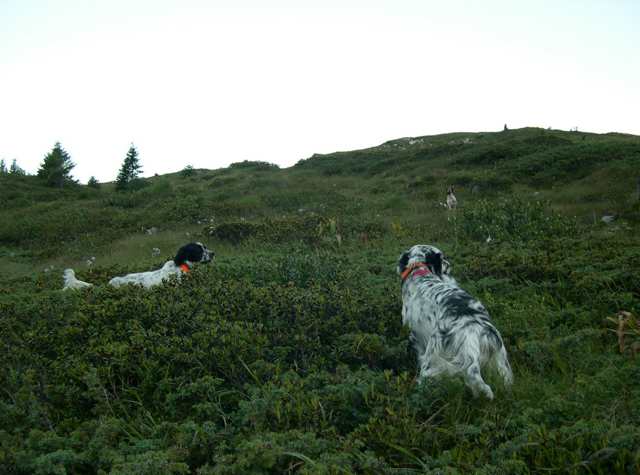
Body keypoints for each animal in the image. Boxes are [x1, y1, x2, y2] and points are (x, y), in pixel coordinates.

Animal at [397, 244, 512, 399]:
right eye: (443, 258)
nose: (449, 264)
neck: (420, 273)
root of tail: (475, 329)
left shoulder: (417, 335)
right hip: (500, 359)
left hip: (433, 352)